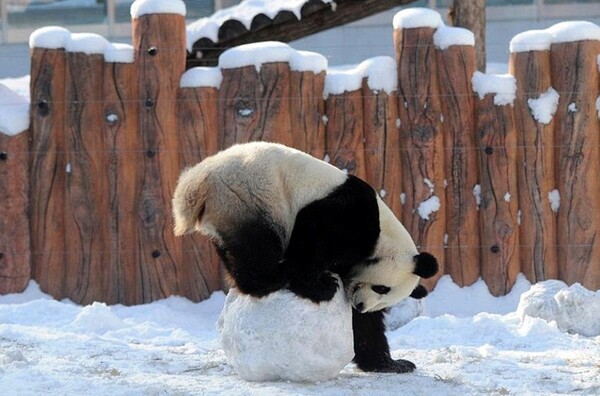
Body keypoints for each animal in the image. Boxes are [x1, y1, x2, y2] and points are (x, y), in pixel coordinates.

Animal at [171, 142, 438, 374]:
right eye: (382, 288)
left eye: (384, 299)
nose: (360, 305)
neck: (385, 239)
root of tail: (196, 182)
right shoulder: (353, 218)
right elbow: (313, 235)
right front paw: (319, 287)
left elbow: (364, 327)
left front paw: (393, 364)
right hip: (249, 196)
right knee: (258, 246)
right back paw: (271, 280)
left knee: (235, 250)